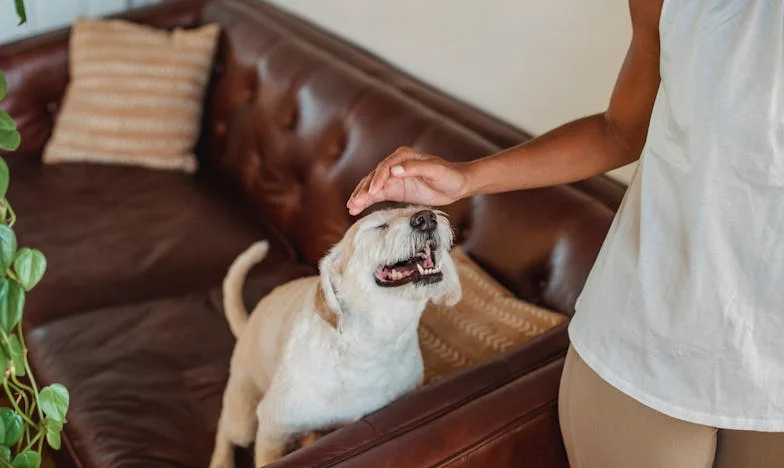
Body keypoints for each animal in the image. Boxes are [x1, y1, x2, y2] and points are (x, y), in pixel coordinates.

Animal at [211, 207, 462, 466]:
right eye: (379, 226)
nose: (427, 217)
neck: (374, 347)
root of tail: (246, 327)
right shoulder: (273, 428)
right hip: (243, 421)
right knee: (225, 430)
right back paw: (221, 460)